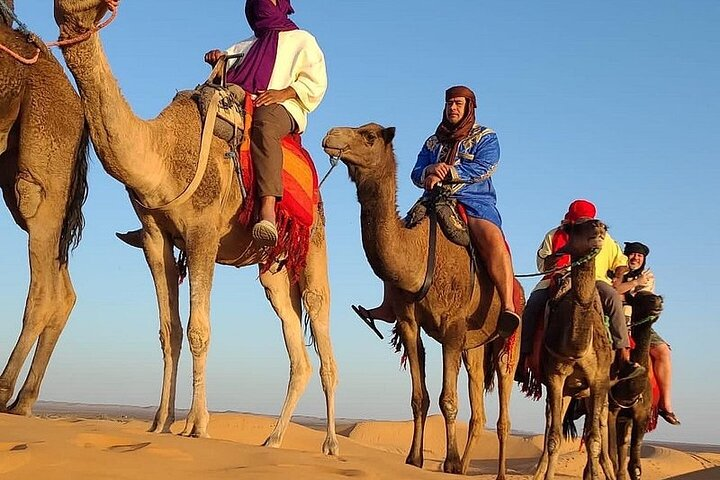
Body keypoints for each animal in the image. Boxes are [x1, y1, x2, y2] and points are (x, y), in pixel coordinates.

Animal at [53, 0, 340, 454]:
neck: (162, 153)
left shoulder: (203, 235)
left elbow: (198, 330)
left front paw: (197, 426)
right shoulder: (155, 236)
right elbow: (168, 331)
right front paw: (160, 423)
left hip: (313, 242)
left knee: (322, 326)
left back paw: (330, 444)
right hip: (275, 272)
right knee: (298, 352)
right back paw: (273, 439)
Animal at [324, 123, 520, 476]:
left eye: (369, 136)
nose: (331, 135)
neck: (417, 255)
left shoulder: (452, 328)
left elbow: (447, 400)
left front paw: (449, 461)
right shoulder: (409, 322)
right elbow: (420, 397)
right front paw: (414, 459)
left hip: (508, 344)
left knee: (503, 414)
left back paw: (492, 472)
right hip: (475, 347)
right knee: (479, 411)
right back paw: (466, 467)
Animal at [532, 218, 616, 480]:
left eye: (605, 227)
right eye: (574, 227)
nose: (598, 227)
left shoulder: (599, 379)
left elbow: (594, 441)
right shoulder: (555, 377)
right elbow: (554, 439)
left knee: (599, 429)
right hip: (567, 391)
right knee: (552, 423)